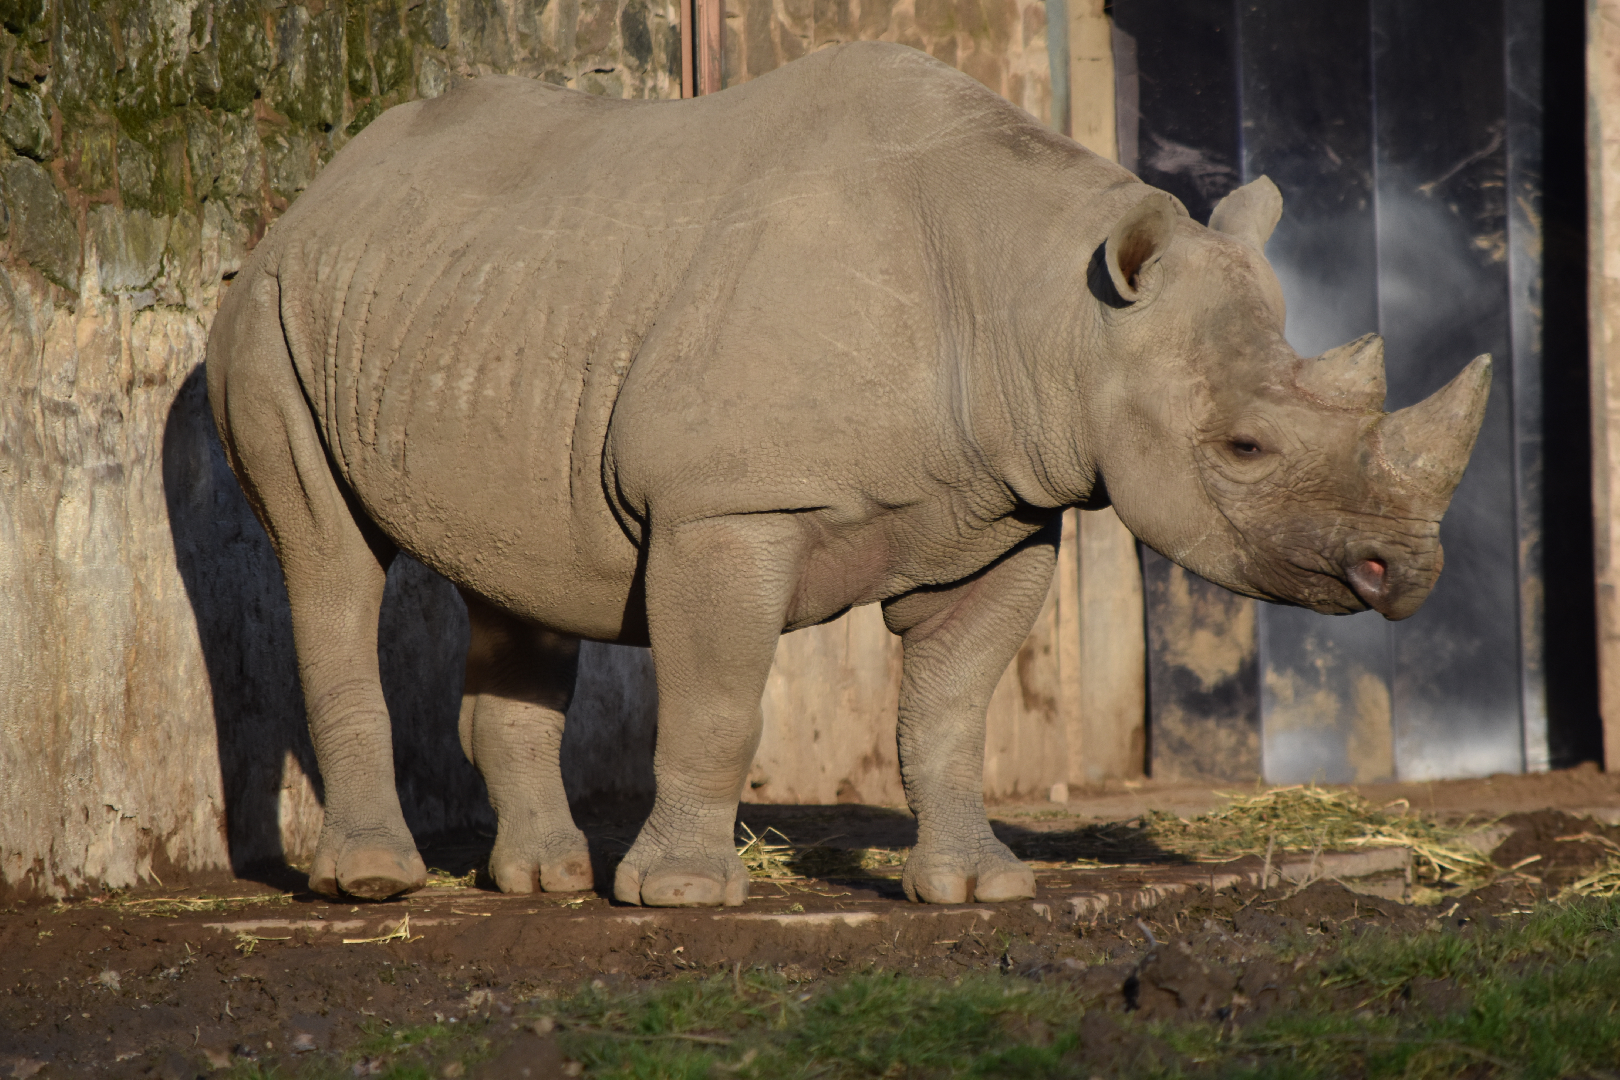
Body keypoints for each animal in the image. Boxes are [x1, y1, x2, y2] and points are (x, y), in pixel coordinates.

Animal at [206, 41, 1489, 906]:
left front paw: (978, 888)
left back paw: (543, 882)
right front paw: (684, 896)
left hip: (475, 300)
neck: (1050, 308)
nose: (1410, 570)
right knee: (326, 555)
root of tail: (327, 182)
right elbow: (722, 701)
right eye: (1244, 448)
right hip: (267, 306)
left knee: (519, 575)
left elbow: (950, 714)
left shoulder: (1004, 511)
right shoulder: (727, 505)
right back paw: (374, 882)